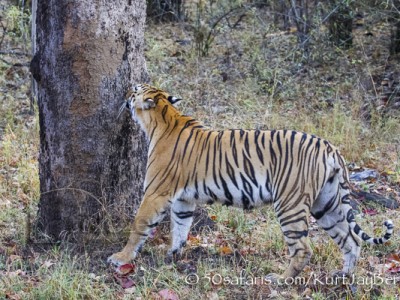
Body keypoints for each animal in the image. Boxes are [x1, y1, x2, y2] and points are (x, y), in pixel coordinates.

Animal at [108, 82, 394, 282]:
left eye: (136, 89)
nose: (127, 89)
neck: (163, 119)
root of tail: (329, 147)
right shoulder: (184, 200)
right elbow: (180, 227)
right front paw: (172, 254)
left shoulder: (155, 192)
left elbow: (139, 225)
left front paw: (121, 257)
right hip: (327, 204)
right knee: (350, 239)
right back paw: (343, 275)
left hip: (290, 204)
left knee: (303, 248)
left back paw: (280, 280)